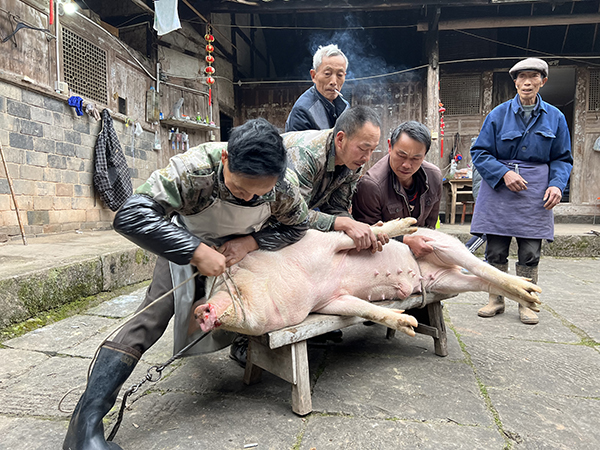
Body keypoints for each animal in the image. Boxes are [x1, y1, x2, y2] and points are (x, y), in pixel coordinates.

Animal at [193, 218, 544, 338]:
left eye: (223, 278)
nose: (198, 311)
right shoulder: (328, 302)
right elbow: (364, 309)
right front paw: (408, 324)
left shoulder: (324, 244)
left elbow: (363, 234)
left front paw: (405, 224)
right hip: (442, 283)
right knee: (479, 281)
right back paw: (532, 301)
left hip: (443, 243)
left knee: (482, 267)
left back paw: (533, 294)